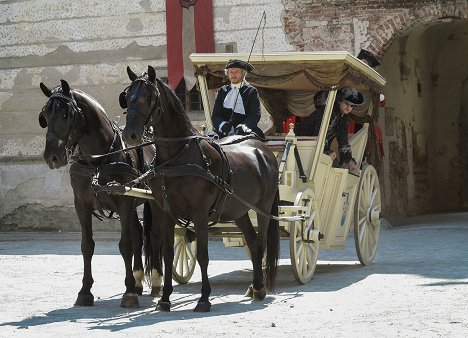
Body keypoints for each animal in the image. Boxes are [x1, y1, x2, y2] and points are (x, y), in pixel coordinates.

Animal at [39, 80, 165, 308]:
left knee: (155, 234)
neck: (98, 160)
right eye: (45, 114)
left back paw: (156, 281)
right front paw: (85, 291)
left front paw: (128, 293)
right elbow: (87, 246)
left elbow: (125, 245)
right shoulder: (82, 205)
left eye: (66, 115)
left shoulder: (123, 202)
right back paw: (138, 280)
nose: (52, 157)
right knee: (138, 233)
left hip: (154, 202)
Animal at [121, 65, 282, 312]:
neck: (178, 157)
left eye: (149, 98)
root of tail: (263, 150)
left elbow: (203, 256)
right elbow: (168, 255)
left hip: (263, 209)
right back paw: (254, 287)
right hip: (239, 211)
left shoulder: (200, 215)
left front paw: (204, 298)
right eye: (128, 97)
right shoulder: (165, 213)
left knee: (262, 243)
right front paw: (165, 298)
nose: (130, 134)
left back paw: (259, 287)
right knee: (254, 243)